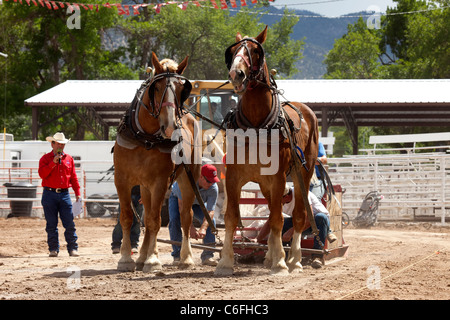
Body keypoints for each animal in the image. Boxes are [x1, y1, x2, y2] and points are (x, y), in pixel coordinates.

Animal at [113, 52, 200, 272]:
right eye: (157, 88)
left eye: (181, 90)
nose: (170, 127)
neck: (145, 139)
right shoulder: (122, 180)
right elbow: (127, 217)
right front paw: (126, 258)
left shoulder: (161, 182)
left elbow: (155, 220)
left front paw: (153, 260)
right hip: (145, 186)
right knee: (146, 215)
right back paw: (142, 256)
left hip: (188, 179)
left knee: (185, 217)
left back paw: (186, 258)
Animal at [215, 26, 318, 276]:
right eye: (234, 50)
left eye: (254, 50)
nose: (236, 74)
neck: (256, 125)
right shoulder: (233, 177)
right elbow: (232, 217)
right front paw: (225, 262)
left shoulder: (278, 178)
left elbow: (279, 219)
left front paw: (281, 263)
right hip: (265, 183)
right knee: (272, 213)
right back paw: (270, 256)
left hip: (303, 174)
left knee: (297, 217)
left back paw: (294, 260)